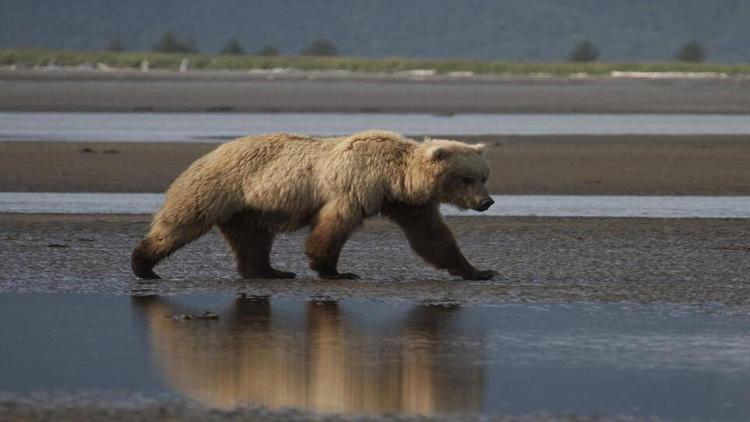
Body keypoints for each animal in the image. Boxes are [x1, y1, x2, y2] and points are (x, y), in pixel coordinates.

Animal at [132, 129, 500, 280]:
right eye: (466, 178)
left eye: (484, 176)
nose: (487, 201)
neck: (394, 176)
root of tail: (203, 155)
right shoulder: (355, 186)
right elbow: (334, 225)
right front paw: (334, 270)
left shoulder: (406, 203)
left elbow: (433, 237)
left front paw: (479, 271)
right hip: (217, 188)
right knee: (181, 223)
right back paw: (143, 265)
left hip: (246, 209)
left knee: (252, 239)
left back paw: (271, 271)